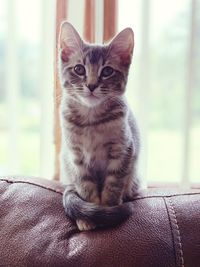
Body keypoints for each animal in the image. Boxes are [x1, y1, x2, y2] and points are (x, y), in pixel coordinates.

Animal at [59, 22, 141, 231]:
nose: (91, 85)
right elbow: (85, 186)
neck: (91, 120)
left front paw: (108, 210)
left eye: (107, 71)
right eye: (79, 69)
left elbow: (113, 184)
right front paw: (89, 215)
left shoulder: (123, 150)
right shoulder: (76, 156)